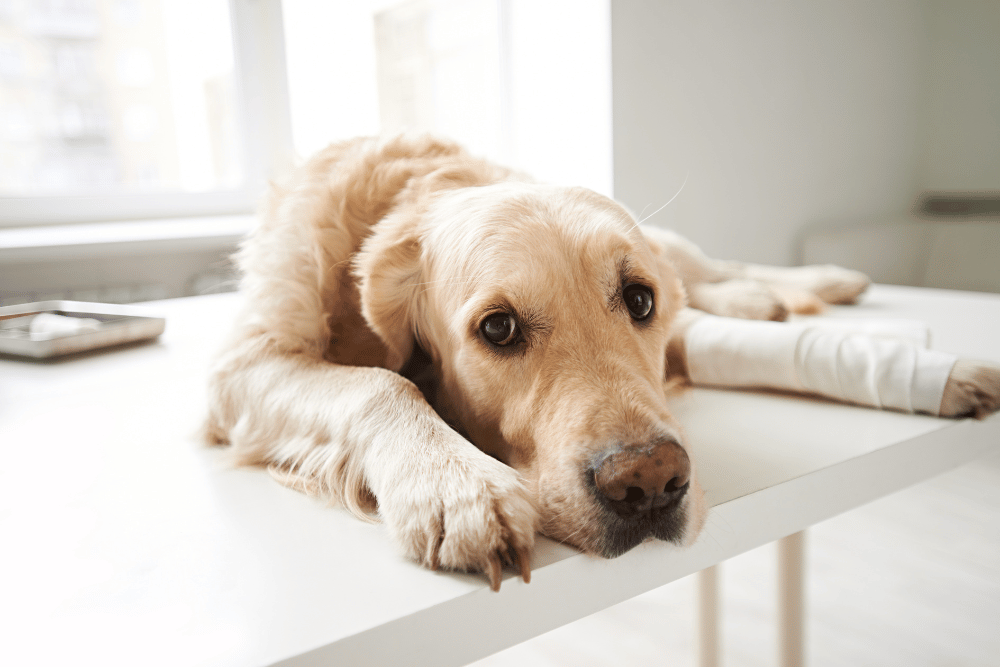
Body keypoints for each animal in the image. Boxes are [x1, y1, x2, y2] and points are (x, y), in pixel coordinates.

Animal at [205, 134, 1000, 588]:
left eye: (638, 300)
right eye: (498, 327)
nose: (650, 483)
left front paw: (945, 372)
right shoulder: (242, 366)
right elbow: (377, 382)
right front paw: (455, 484)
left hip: (675, 247)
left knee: (711, 267)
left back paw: (816, 283)